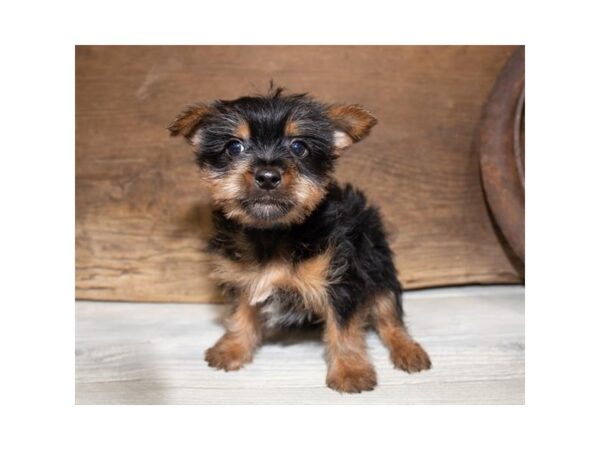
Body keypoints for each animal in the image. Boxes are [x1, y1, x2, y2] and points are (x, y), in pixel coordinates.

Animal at [169, 86, 432, 392]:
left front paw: (350, 371)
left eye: (298, 147)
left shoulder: (342, 279)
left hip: (376, 263)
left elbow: (344, 329)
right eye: (234, 147)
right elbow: (241, 313)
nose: (267, 176)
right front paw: (233, 349)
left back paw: (408, 351)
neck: (274, 231)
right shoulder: (242, 278)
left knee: (388, 313)